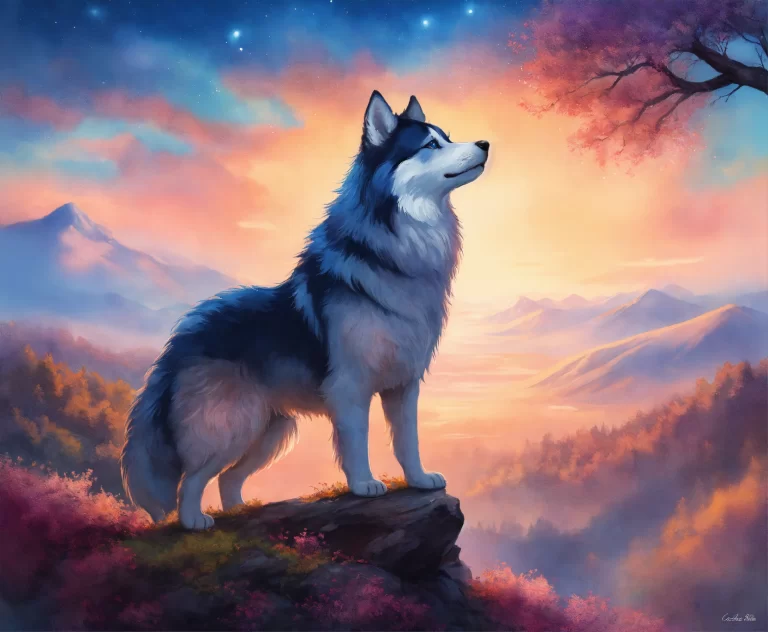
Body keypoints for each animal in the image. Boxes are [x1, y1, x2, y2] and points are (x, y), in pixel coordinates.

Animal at [120, 91, 489, 529]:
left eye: (447, 136)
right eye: (431, 145)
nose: (485, 144)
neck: (396, 254)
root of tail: (181, 336)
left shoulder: (404, 385)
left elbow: (407, 441)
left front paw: (417, 480)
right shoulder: (351, 386)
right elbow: (357, 442)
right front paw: (364, 485)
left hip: (270, 432)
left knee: (228, 479)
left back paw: (242, 512)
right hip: (233, 426)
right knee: (191, 479)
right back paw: (194, 521)